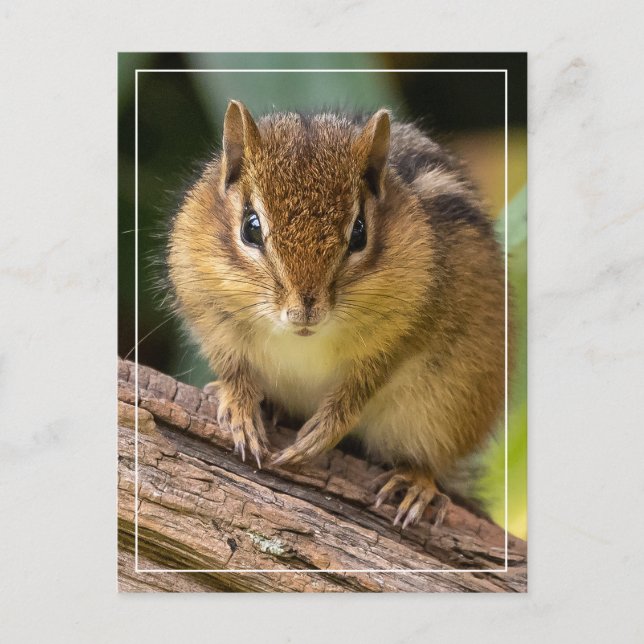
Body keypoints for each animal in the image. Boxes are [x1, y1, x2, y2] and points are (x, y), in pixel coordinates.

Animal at [167, 100, 507, 529]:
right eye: (251, 228)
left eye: (359, 232)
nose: (304, 310)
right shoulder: (208, 309)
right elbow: (232, 366)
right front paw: (240, 408)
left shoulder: (408, 329)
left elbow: (364, 384)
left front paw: (324, 432)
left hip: (447, 409)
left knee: (431, 461)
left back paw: (417, 483)